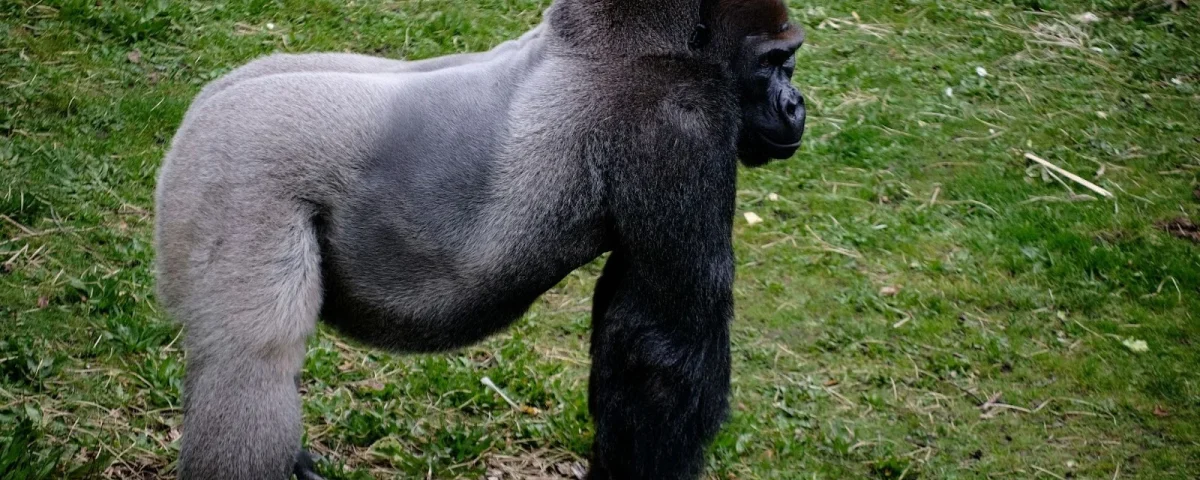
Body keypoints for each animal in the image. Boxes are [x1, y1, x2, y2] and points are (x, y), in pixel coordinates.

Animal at [153, 1, 805, 479]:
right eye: (777, 61)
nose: (796, 106)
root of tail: (197, 115)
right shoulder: (681, 119)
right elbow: (664, 352)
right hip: (231, 175)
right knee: (250, 367)